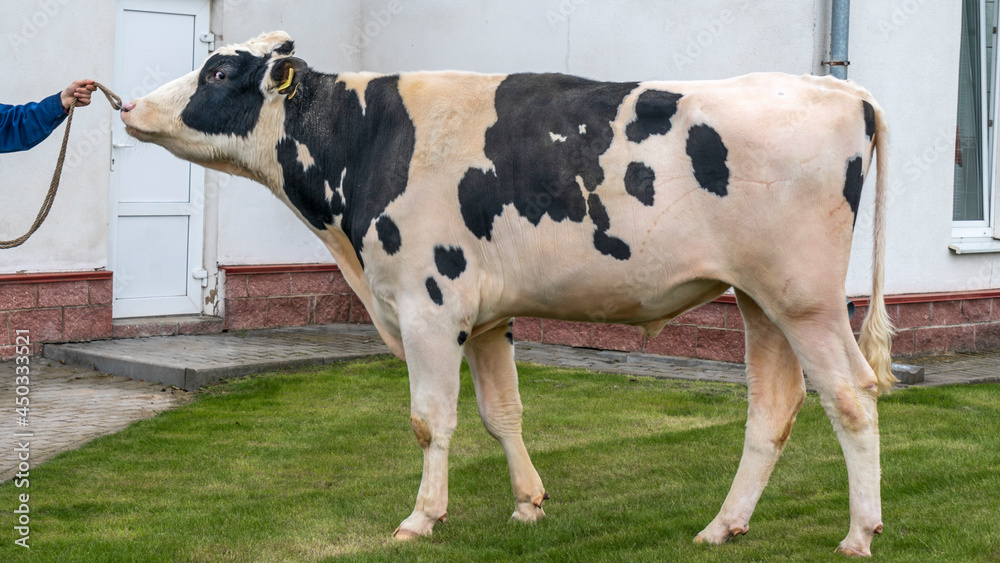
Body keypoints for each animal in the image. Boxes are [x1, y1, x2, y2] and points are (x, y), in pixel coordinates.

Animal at [120, 31, 894, 556]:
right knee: (774, 407)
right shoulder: (488, 318)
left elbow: (431, 420)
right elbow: (503, 413)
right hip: (760, 299)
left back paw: (859, 532)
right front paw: (528, 504)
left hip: (805, 299)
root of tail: (842, 91)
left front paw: (421, 517)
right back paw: (722, 525)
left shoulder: (428, 306)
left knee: (851, 396)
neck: (369, 138)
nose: (129, 105)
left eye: (220, 71)